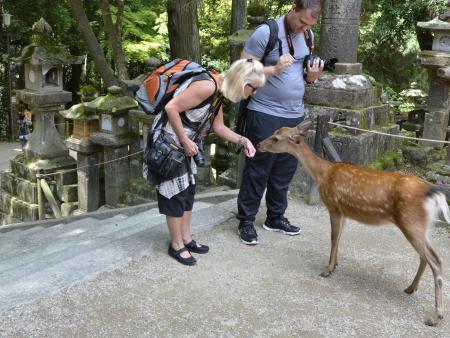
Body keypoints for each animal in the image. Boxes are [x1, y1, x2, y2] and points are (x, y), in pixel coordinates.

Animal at [256, 120, 450, 326]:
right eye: (274, 132)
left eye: (276, 138)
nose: (259, 145)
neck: (322, 173)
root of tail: (435, 193)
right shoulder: (344, 212)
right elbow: (339, 237)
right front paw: (335, 265)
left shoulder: (334, 206)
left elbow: (333, 237)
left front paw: (327, 270)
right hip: (423, 226)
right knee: (425, 257)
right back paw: (410, 288)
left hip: (411, 222)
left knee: (436, 259)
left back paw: (435, 316)